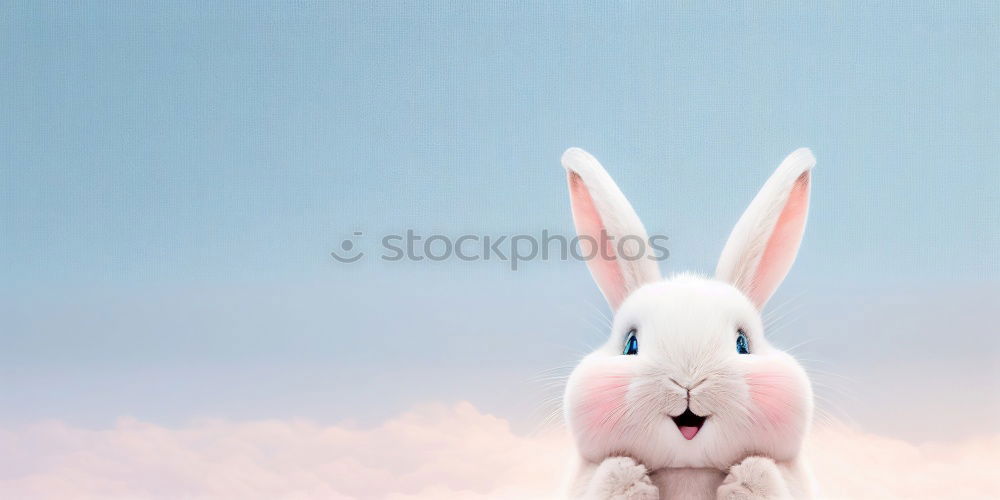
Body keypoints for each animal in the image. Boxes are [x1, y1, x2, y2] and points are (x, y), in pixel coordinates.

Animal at [560, 148, 816, 500]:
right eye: (630, 344)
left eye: (743, 343)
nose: (688, 383)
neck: (688, 469)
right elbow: (610, 477)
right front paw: (630, 474)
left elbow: (765, 476)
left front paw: (745, 476)